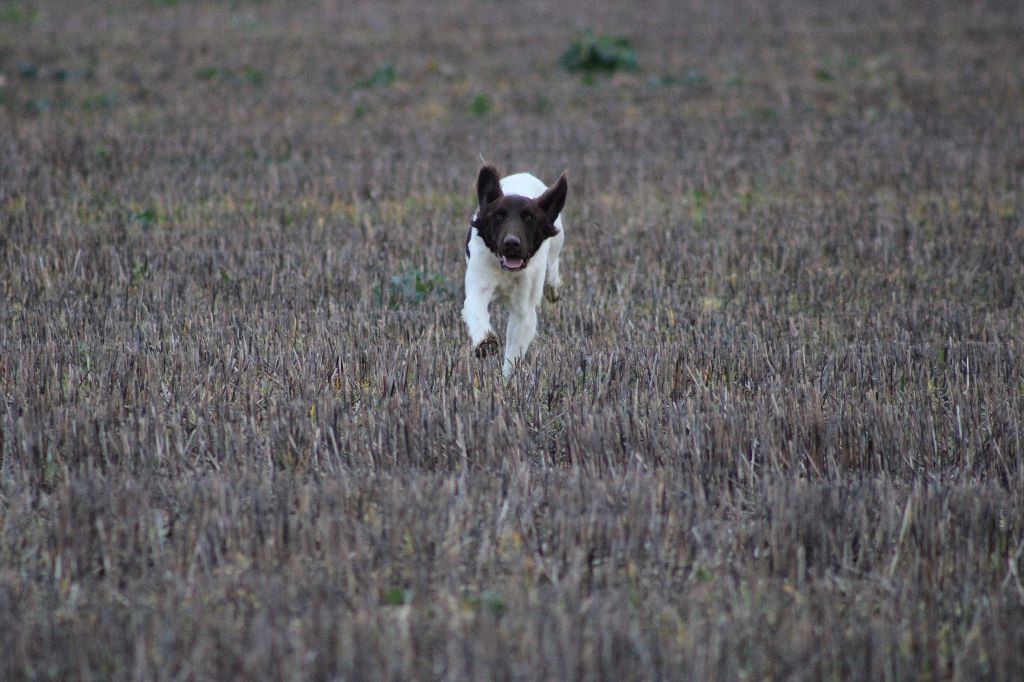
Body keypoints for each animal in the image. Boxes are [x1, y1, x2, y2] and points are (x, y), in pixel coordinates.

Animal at [462, 164, 569, 376]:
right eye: (498, 216)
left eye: (530, 217)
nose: (511, 243)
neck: (507, 271)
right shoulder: (478, 286)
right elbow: (477, 310)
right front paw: (485, 343)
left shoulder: (523, 311)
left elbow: (513, 353)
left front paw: (506, 380)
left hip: (557, 241)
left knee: (553, 265)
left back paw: (553, 289)